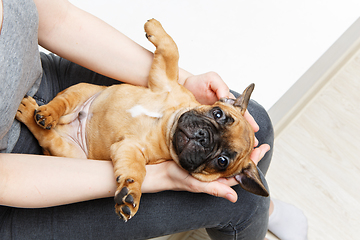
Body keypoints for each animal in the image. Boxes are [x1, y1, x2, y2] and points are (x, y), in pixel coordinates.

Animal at [15, 18, 268, 221]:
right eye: (218, 114)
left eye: (222, 161)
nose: (204, 137)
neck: (167, 123)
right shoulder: (165, 79)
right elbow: (172, 50)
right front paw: (155, 27)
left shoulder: (131, 149)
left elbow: (136, 171)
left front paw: (130, 194)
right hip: (81, 89)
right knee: (60, 104)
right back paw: (46, 113)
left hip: (72, 154)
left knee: (47, 137)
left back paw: (29, 113)